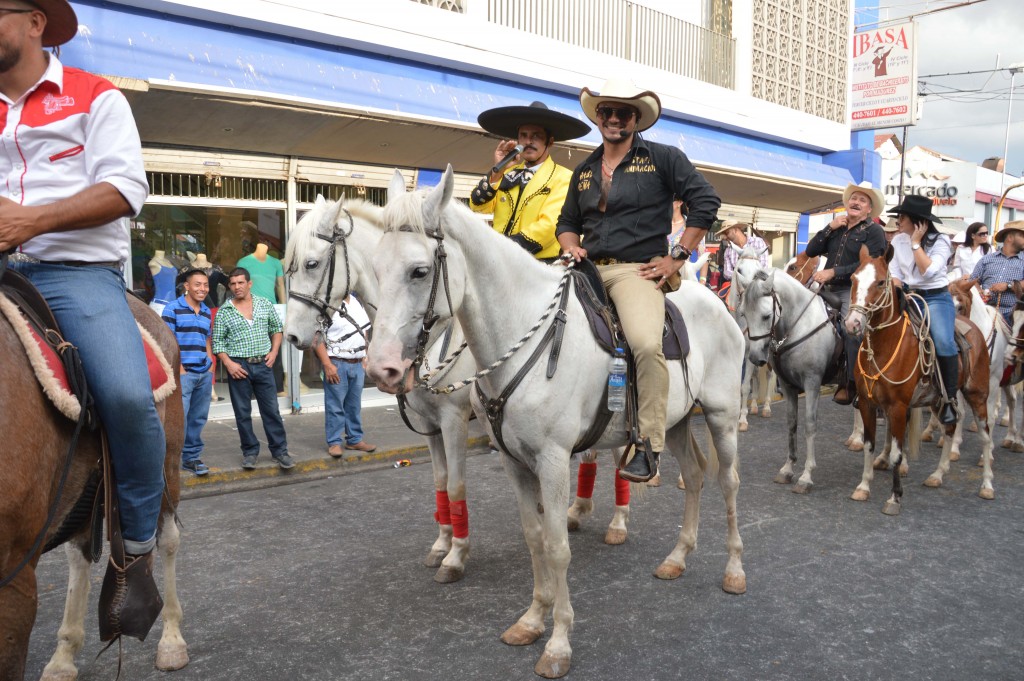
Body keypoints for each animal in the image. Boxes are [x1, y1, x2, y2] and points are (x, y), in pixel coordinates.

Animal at [0, 290, 187, 679]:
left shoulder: (15, 574)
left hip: (167, 463)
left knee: (167, 541)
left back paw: (171, 638)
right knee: (80, 551)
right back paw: (64, 655)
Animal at [368, 166, 745, 675]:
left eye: (419, 271)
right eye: (374, 268)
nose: (381, 369)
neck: (522, 336)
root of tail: (717, 301)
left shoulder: (552, 460)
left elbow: (557, 547)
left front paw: (559, 643)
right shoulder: (514, 462)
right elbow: (535, 539)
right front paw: (532, 620)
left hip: (722, 416)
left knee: (727, 482)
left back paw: (734, 570)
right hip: (676, 422)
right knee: (695, 475)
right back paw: (678, 557)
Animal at [839, 246, 991, 512]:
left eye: (881, 282)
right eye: (853, 279)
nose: (852, 323)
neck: (884, 347)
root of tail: (973, 327)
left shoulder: (899, 407)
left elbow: (897, 454)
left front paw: (894, 497)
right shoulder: (868, 404)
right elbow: (869, 445)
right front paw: (863, 487)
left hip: (977, 395)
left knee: (985, 436)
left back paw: (987, 485)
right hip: (940, 400)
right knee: (950, 427)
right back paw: (937, 475)